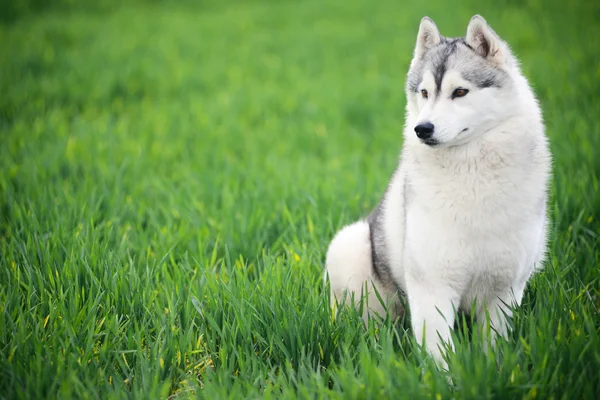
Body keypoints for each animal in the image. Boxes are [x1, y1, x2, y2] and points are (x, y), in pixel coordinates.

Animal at [326, 14, 552, 366]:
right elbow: (438, 352)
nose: (422, 128)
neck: (472, 173)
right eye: (425, 92)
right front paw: (443, 377)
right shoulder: (432, 285)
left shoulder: (504, 290)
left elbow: (493, 349)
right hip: (349, 248)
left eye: (460, 91)